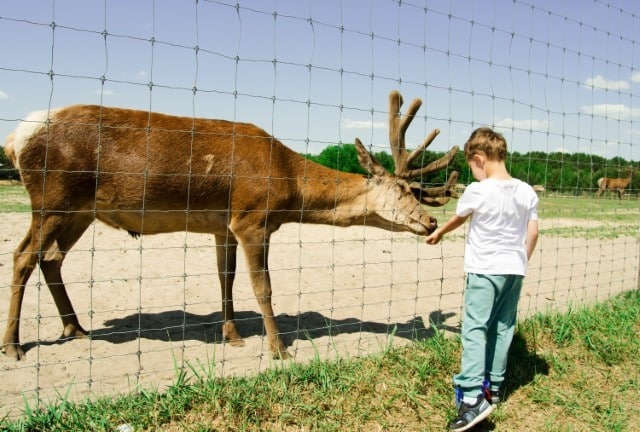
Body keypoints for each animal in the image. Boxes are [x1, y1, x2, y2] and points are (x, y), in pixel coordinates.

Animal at [2, 90, 458, 362]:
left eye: (417, 192)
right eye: (402, 190)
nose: (431, 220)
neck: (287, 183)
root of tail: (15, 139)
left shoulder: (224, 225)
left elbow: (226, 279)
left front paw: (233, 334)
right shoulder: (253, 218)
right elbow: (263, 286)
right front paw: (278, 349)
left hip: (79, 211)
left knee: (51, 259)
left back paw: (75, 328)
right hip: (53, 197)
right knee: (23, 255)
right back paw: (13, 346)